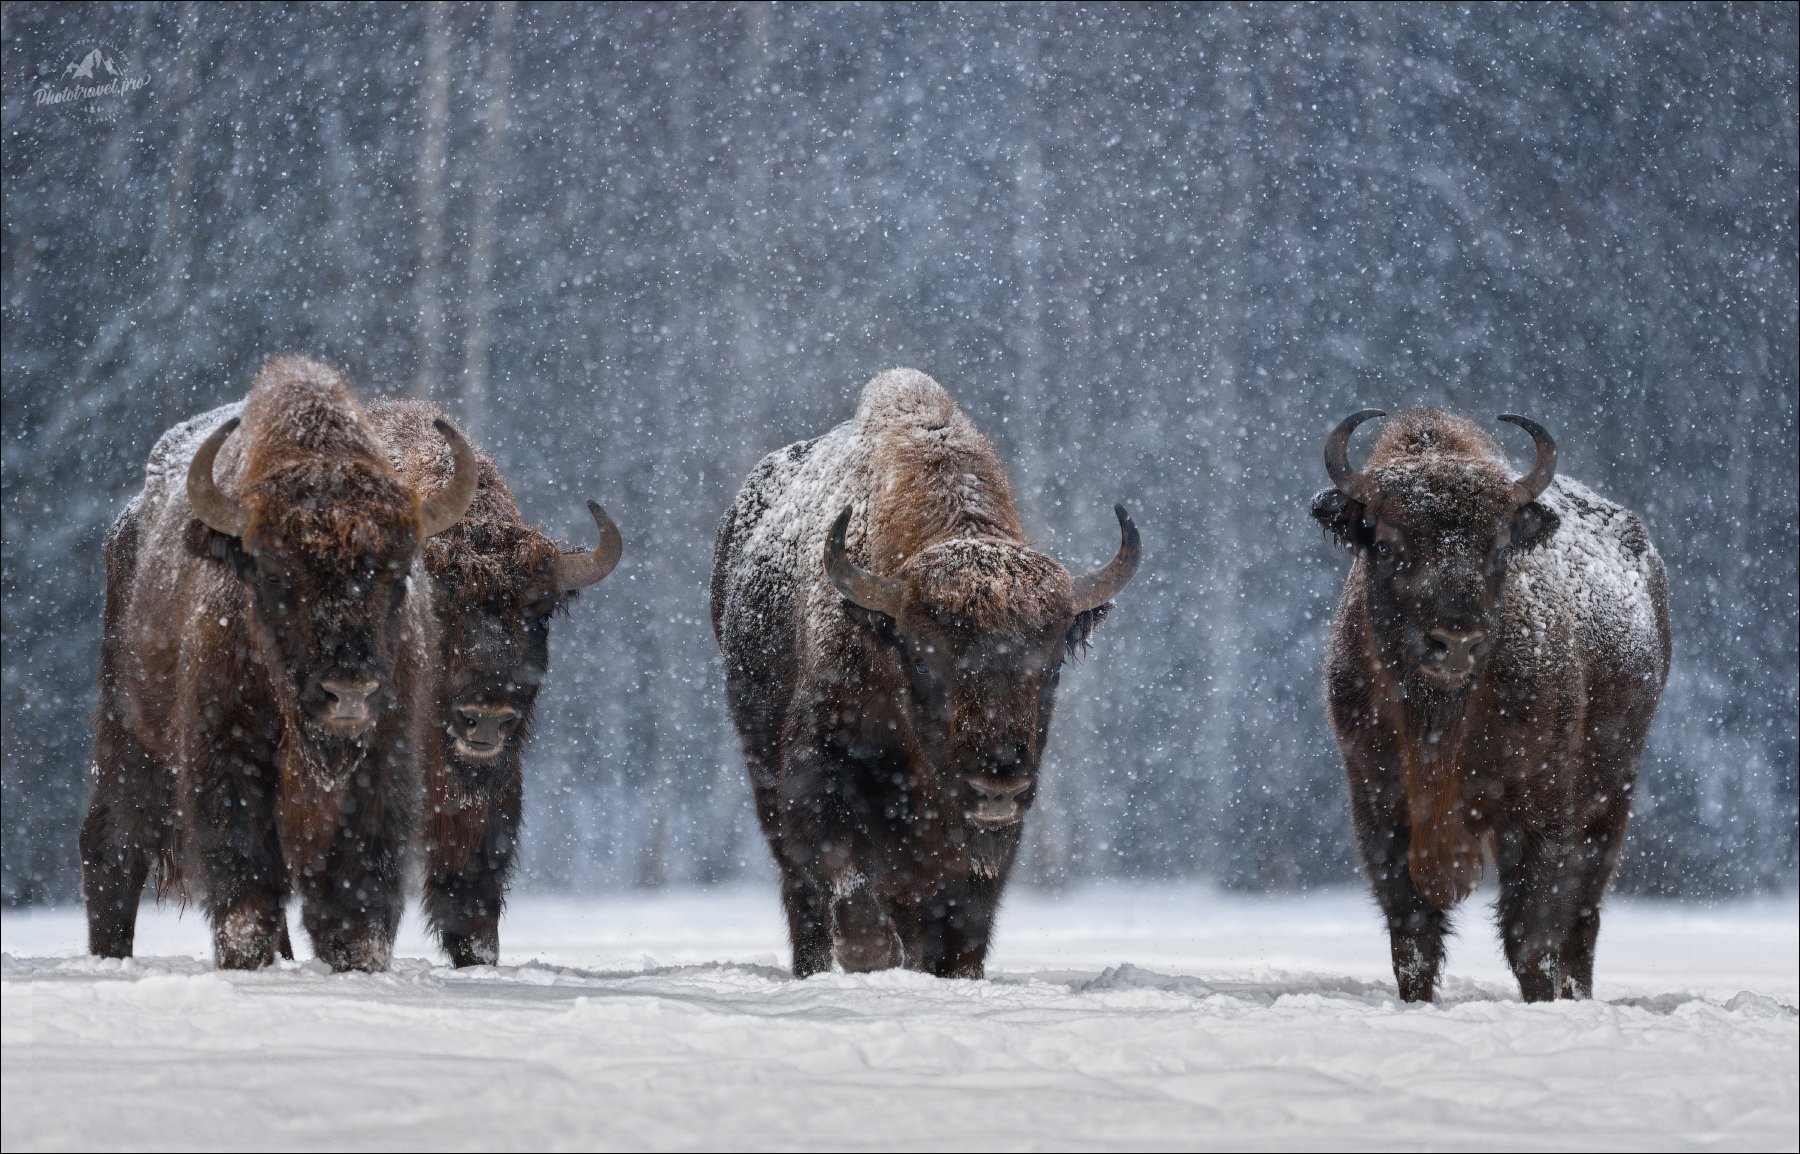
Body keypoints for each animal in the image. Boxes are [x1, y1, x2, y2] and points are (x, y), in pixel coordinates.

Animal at [81, 356, 475, 964]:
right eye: (274, 575)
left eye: (398, 574)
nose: (348, 693)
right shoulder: (228, 754)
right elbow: (246, 885)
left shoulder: (385, 761)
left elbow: (357, 896)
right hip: (129, 734)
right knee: (115, 846)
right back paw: (110, 956)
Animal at [705, 367, 1137, 972]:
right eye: (926, 658)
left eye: (1050, 664)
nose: (995, 784)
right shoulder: (819, 776)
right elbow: (845, 877)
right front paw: (870, 952)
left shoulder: (987, 851)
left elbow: (961, 926)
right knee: (804, 897)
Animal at [1310, 412, 1670, 1000]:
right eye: (1384, 544)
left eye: (1500, 548)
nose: (1455, 642)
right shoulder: (1378, 803)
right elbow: (1413, 936)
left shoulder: (1538, 810)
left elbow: (1531, 932)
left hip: (1612, 794)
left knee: (1583, 915)